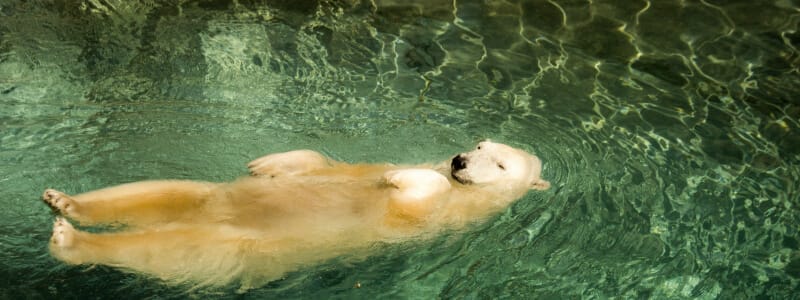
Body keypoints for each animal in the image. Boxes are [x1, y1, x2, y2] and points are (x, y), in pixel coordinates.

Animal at [42, 141, 552, 288]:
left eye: (501, 164)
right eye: (481, 145)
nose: (460, 161)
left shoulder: (441, 219)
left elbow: (414, 200)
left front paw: (404, 179)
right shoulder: (366, 166)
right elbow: (323, 163)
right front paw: (268, 164)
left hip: (242, 247)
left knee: (179, 246)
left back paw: (70, 238)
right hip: (216, 199)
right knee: (164, 192)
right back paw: (65, 201)